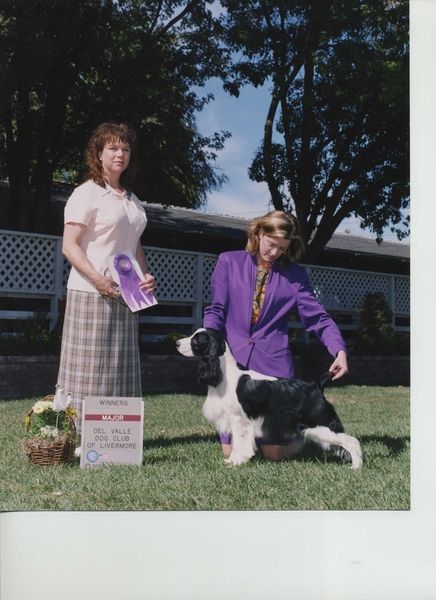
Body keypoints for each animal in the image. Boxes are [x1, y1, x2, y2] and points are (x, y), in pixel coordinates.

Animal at [177, 328, 363, 468]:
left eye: (195, 340)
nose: (177, 343)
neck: (225, 375)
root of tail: (316, 384)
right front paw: (232, 460)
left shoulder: (239, 421)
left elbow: (240, 442)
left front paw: (236, 461)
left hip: (321, 424)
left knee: (352, 441)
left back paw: (356, 467)